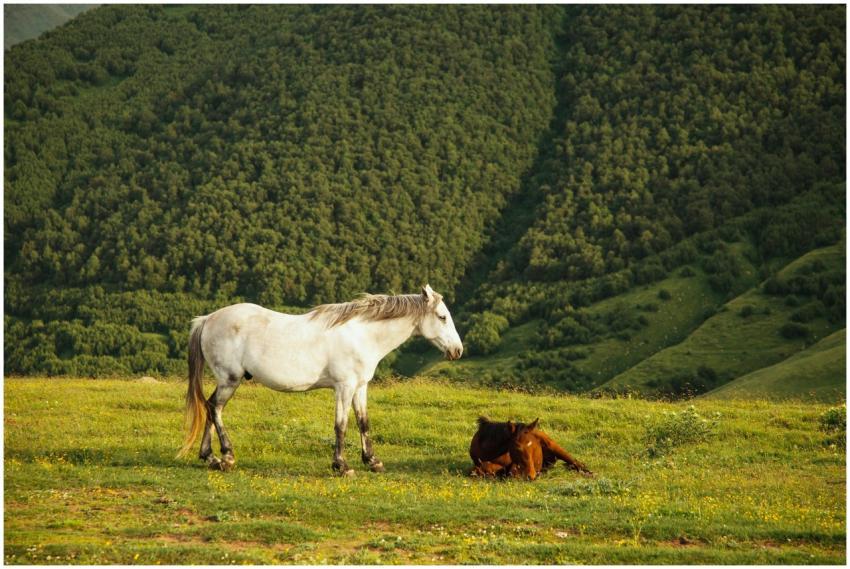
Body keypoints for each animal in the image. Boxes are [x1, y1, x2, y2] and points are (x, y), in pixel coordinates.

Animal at [178, 284, 463, 475]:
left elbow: (363, 422)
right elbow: (341, 425)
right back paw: (226, 457)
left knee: (209, 407)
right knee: (214, 408)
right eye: (442, 317)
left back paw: (209, 457)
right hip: (230, 379)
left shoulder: (360, 387)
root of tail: (207, 319)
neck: (362, 335)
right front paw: (342, 466)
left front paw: (373, 461)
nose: (458, 350)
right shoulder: (344, 387)